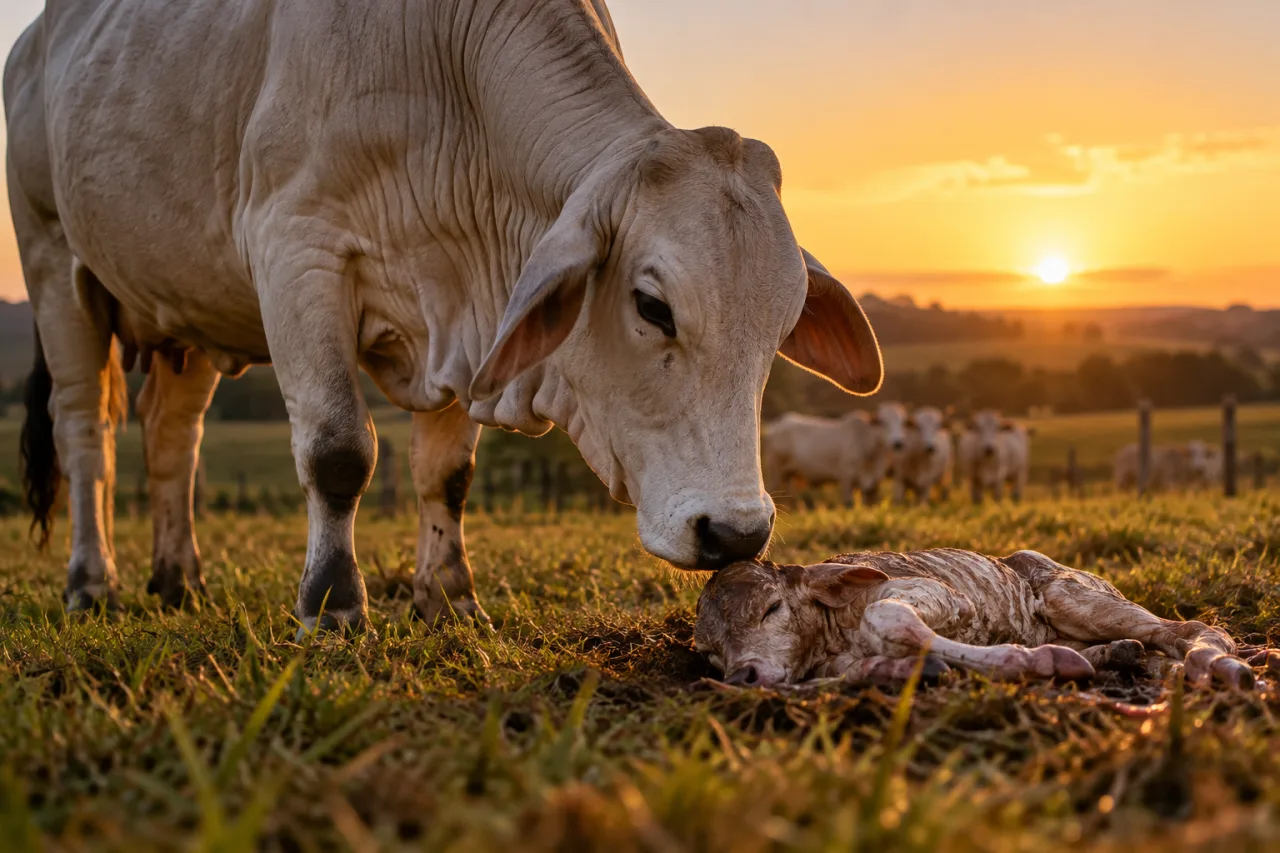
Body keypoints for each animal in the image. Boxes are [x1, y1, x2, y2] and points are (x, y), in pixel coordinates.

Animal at [6, 0, 883, 634]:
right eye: (652, 306)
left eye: (781, 326)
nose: (736, 534)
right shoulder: (295, 253)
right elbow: (338, 451)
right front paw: (334, 605)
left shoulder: (468, 316)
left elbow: (448, 474)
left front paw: (449, 596)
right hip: (55, 265)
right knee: (86, 433)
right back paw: (93, 581)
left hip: (185, 311)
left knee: (171, 436)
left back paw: (178, 577)